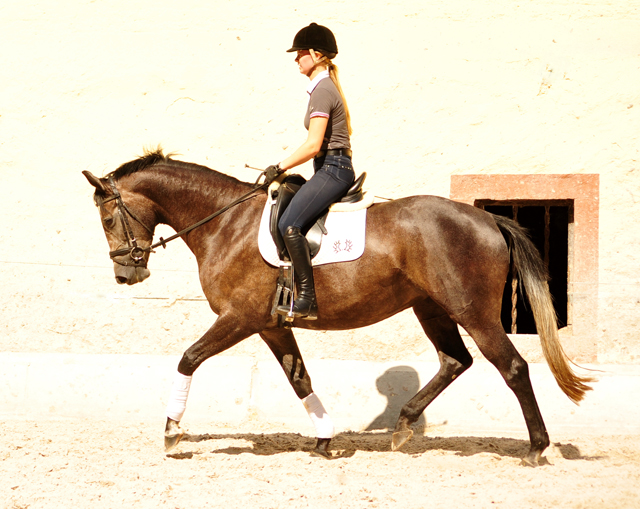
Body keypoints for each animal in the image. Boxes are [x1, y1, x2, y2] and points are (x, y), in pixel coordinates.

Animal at [82, 148, 592, 464]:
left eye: (107, 218)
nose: (126, 275)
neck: (226, 223)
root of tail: (487, 218)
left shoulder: (240, 318)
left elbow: (188, 358)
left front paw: (171, 432)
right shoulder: (270, 325)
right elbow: (299, 378)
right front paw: (326, 439)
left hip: (473, 311)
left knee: (512, 367)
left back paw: (536, 448)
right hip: (430, 307)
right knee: (455, 360)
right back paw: (403, 426)